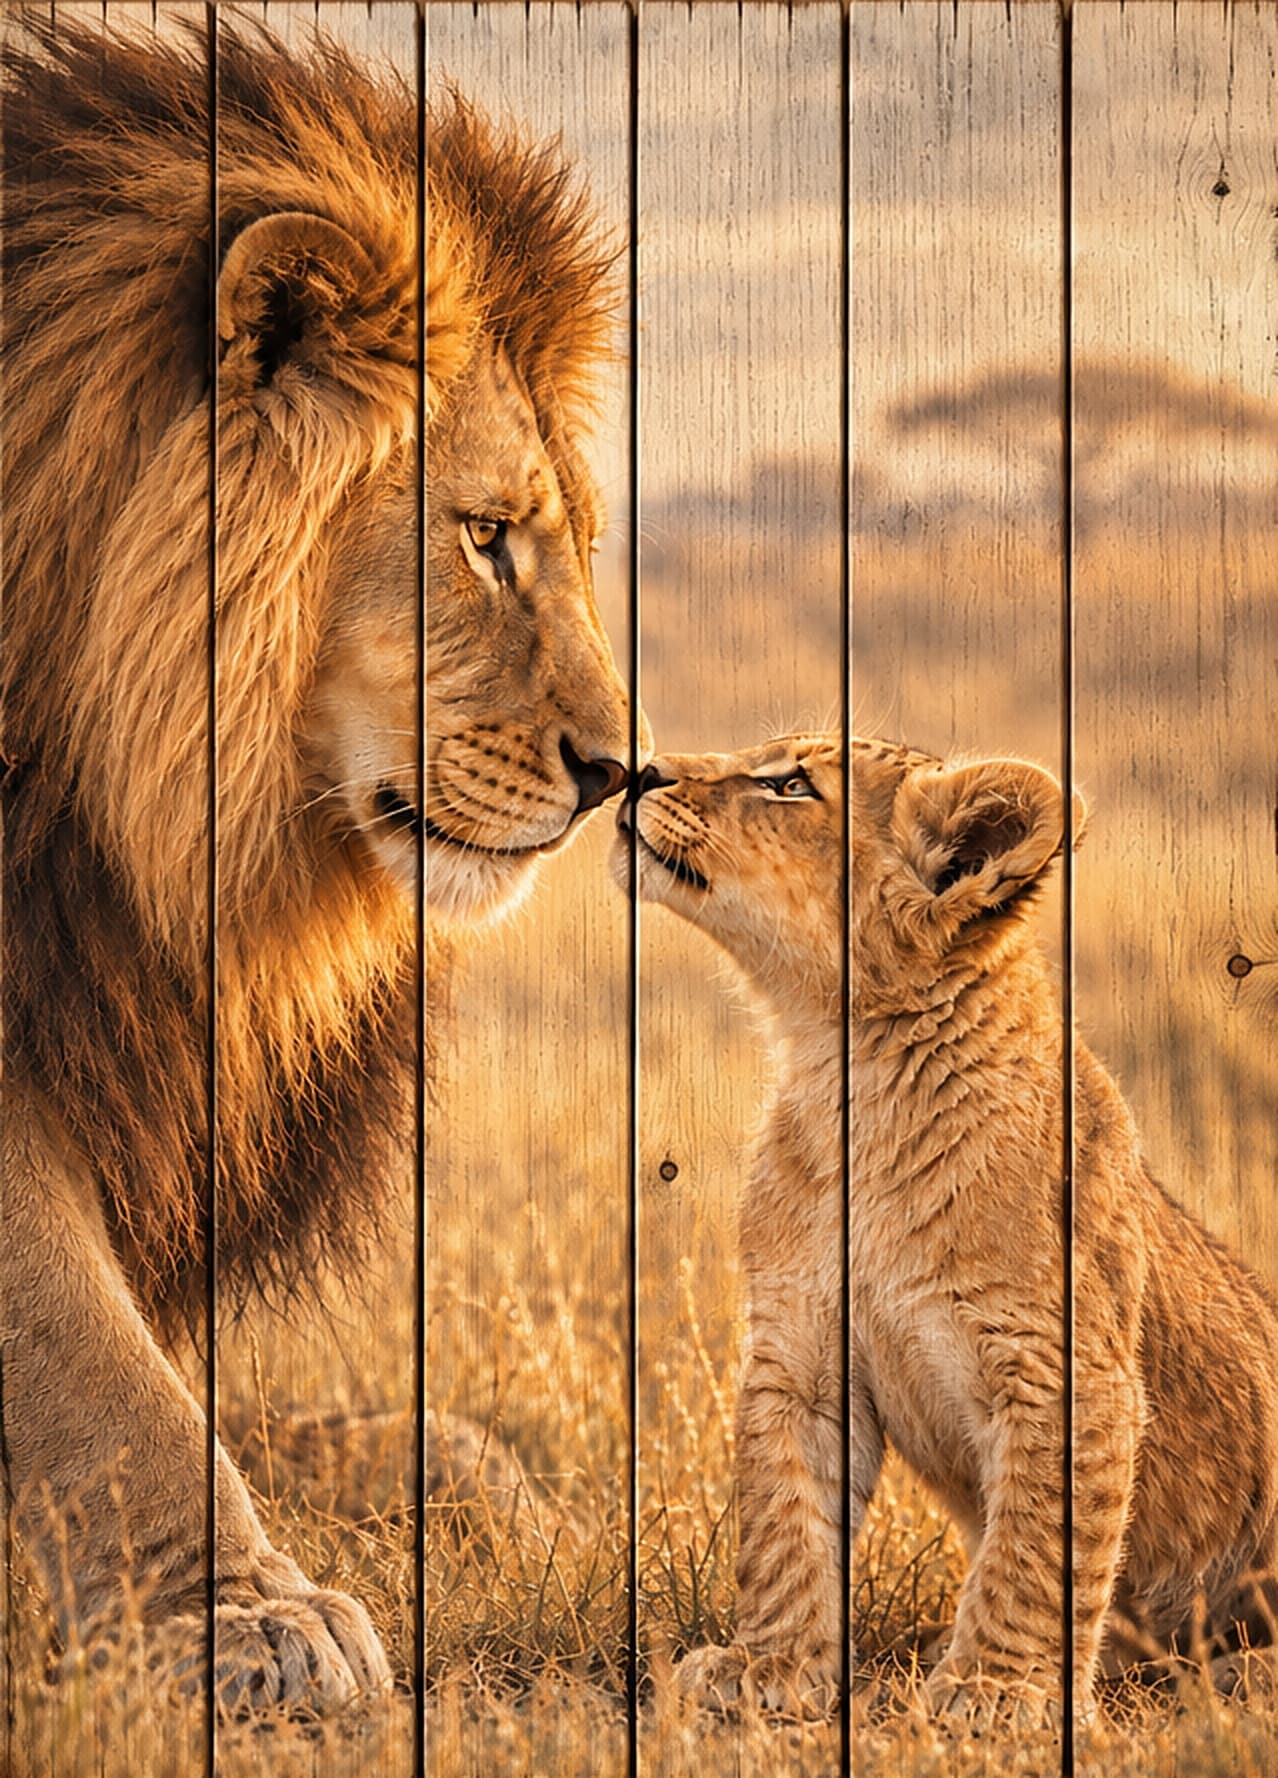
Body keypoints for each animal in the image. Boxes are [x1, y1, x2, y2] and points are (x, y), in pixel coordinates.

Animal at [618, 735, 1278, 1722]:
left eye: (791, 785)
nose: (642, 770)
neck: (851, 1075)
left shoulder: (1065, 1374)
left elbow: (1034, 1552)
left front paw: (995, 1691)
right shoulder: (799, 1357)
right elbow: (784, 1526)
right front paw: (771, 1670)